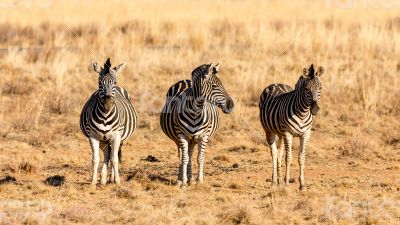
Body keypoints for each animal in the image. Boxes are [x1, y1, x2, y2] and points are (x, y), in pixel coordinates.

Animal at [79, 58, 138, 186]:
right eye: (99, 83)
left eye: (114, 82)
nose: (108, 104)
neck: (105, 115)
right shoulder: (93, 136)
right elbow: (96, 159)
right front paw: (93, 182)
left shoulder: (116, 136)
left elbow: (114, 159)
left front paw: (117, 181)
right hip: (103, 139)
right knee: (107, 154)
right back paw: (103, 179)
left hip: (120, 138)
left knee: (113, 155)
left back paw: (111, 178)